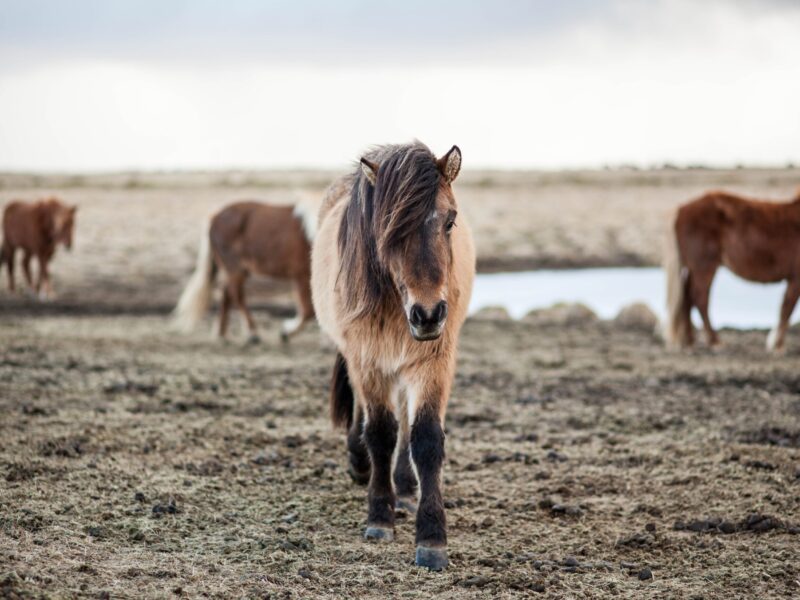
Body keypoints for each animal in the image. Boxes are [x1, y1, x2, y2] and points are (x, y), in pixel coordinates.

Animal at [174, 202, 316, 342]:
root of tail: (214, 217)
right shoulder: (302, 275)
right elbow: (309, 311)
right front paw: (286, 332)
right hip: (235, 269)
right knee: (236, 295)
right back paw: (252, 333)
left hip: (237, 271)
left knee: (227, 294)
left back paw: (223, 334)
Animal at [310, 143, 476, 568]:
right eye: (390, 229)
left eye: (450, 221)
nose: (429, 314)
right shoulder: (367, 360)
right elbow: (381, 433)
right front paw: (379, 517)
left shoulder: (433, 362)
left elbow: (425, 437)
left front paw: (432, 537)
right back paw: (361, 463)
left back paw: (403, 487)